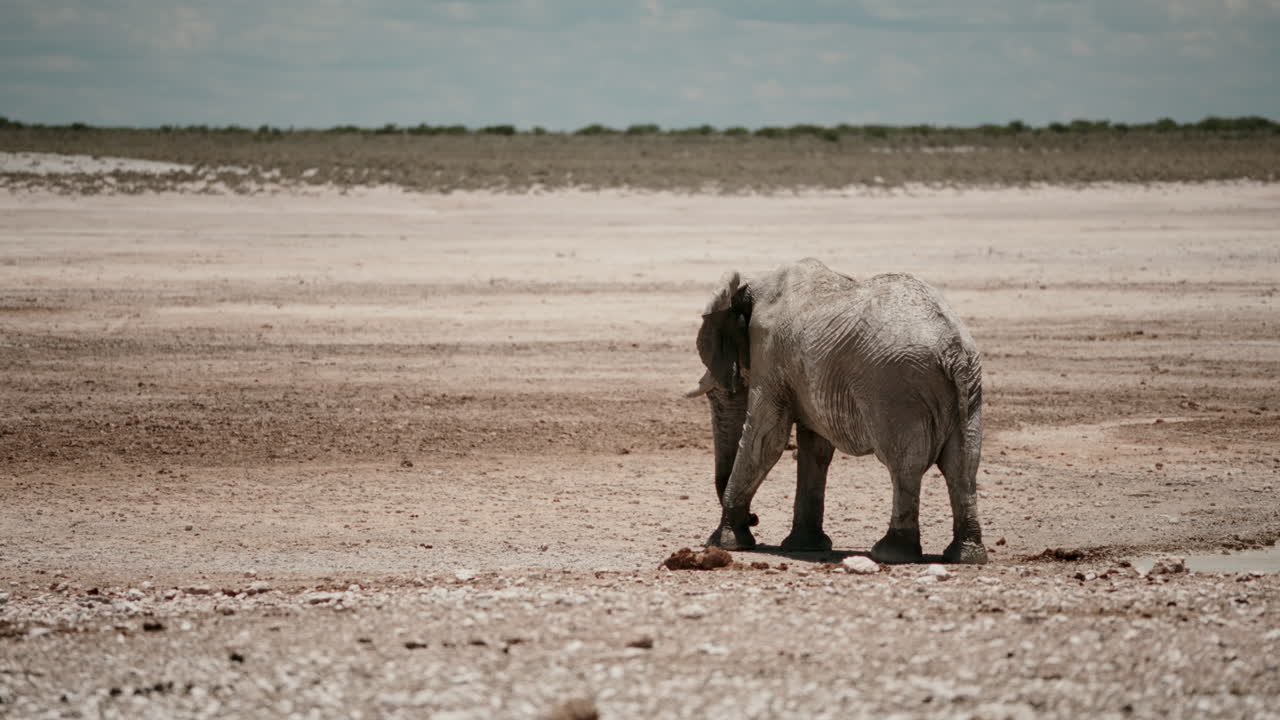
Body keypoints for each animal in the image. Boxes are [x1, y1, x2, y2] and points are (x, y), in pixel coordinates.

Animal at [685, 258, 987, 564]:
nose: (754, 518)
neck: (755, 283)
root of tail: (954, 350)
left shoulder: (769, 353)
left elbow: (766, 439)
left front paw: (723, 542)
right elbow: (815, 449)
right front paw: (804, 546)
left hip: (898, 390)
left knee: (905, 465)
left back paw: (890, 553)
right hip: (968, 388)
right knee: (962, 465)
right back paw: (966, 555)